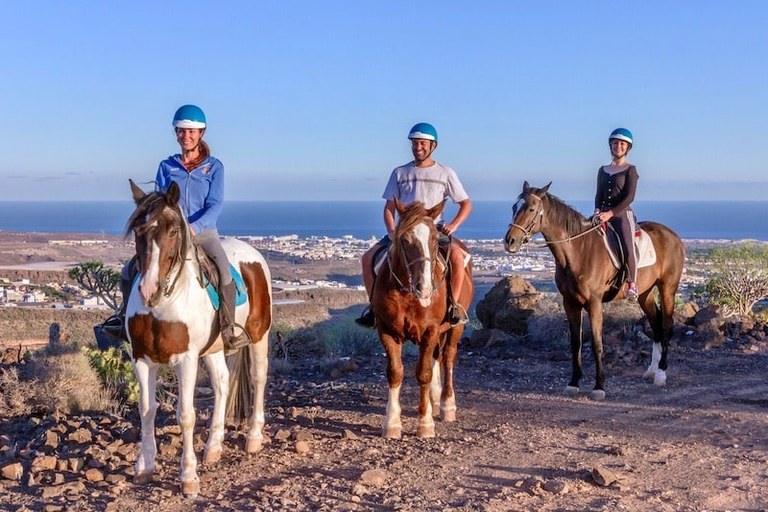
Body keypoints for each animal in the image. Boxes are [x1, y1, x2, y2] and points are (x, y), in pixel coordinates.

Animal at [124, 179, 272, 496]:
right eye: (138, 231)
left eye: (173, 230)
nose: (148, 289)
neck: (165, 303)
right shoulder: (141, 358)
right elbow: (146, 409)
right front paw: (144, 467)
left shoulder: (186, 360)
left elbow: (186, 415)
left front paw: (189, 476)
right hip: (214, 349)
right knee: (222, 383)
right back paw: (214, 447)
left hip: (259, 336)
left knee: (258, 377)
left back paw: (254, 437)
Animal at [371, 199, 474, 438]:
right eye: (404, 239)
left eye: (435, 239)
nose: (425, 288)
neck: (408, 294)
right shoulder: (387, 330)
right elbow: (395, 372)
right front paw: (392, 423)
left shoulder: (430, 329)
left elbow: (424, 373)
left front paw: (425, 423)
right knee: (436, 357)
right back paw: (434, 401)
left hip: (454, 329)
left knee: (447, 358)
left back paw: (446, 405)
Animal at [503, 181, 685, 400]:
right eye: (513, 207)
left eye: (530, 209)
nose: (509, 241)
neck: (578, 251)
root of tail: (672, 235)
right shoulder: (570, 303)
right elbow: (576, 343)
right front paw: (573, 383)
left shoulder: (595, 303)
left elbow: (598, 344)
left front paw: (599, 387)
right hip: (645, 294)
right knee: (656, 322)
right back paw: (651, 369)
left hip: (667, 289)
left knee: (666, 325)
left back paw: (661, 373)